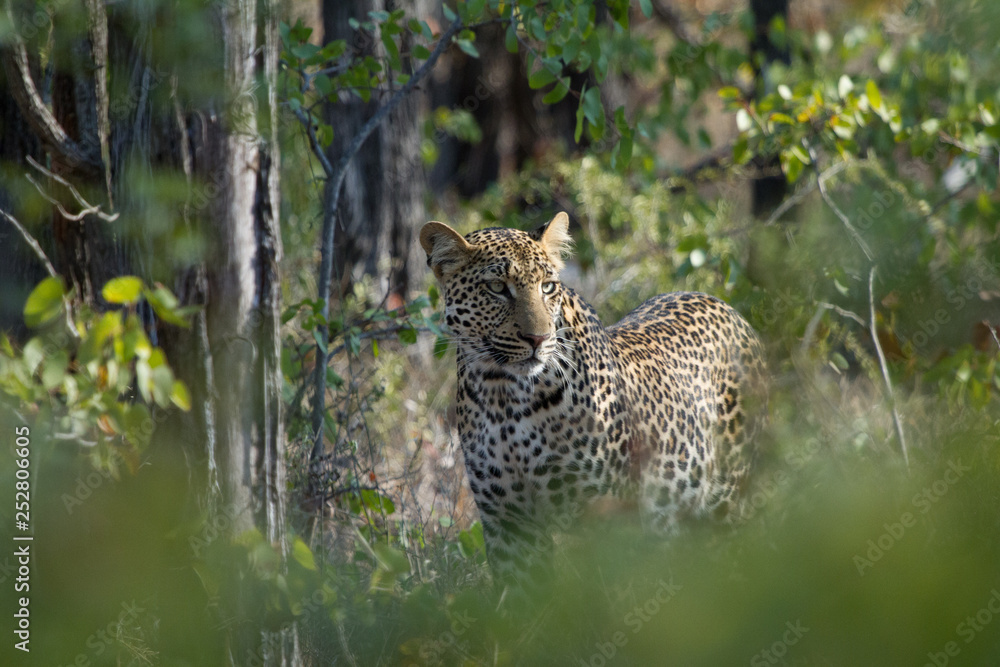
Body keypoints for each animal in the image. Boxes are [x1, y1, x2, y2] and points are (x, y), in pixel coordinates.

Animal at [420, 212, 767, 591]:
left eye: (547, 287)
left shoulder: (609, 522)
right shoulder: (510, 525)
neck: (503, 395)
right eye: (496, 288)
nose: (538, 338)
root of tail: (726, 306)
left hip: (728, 503)